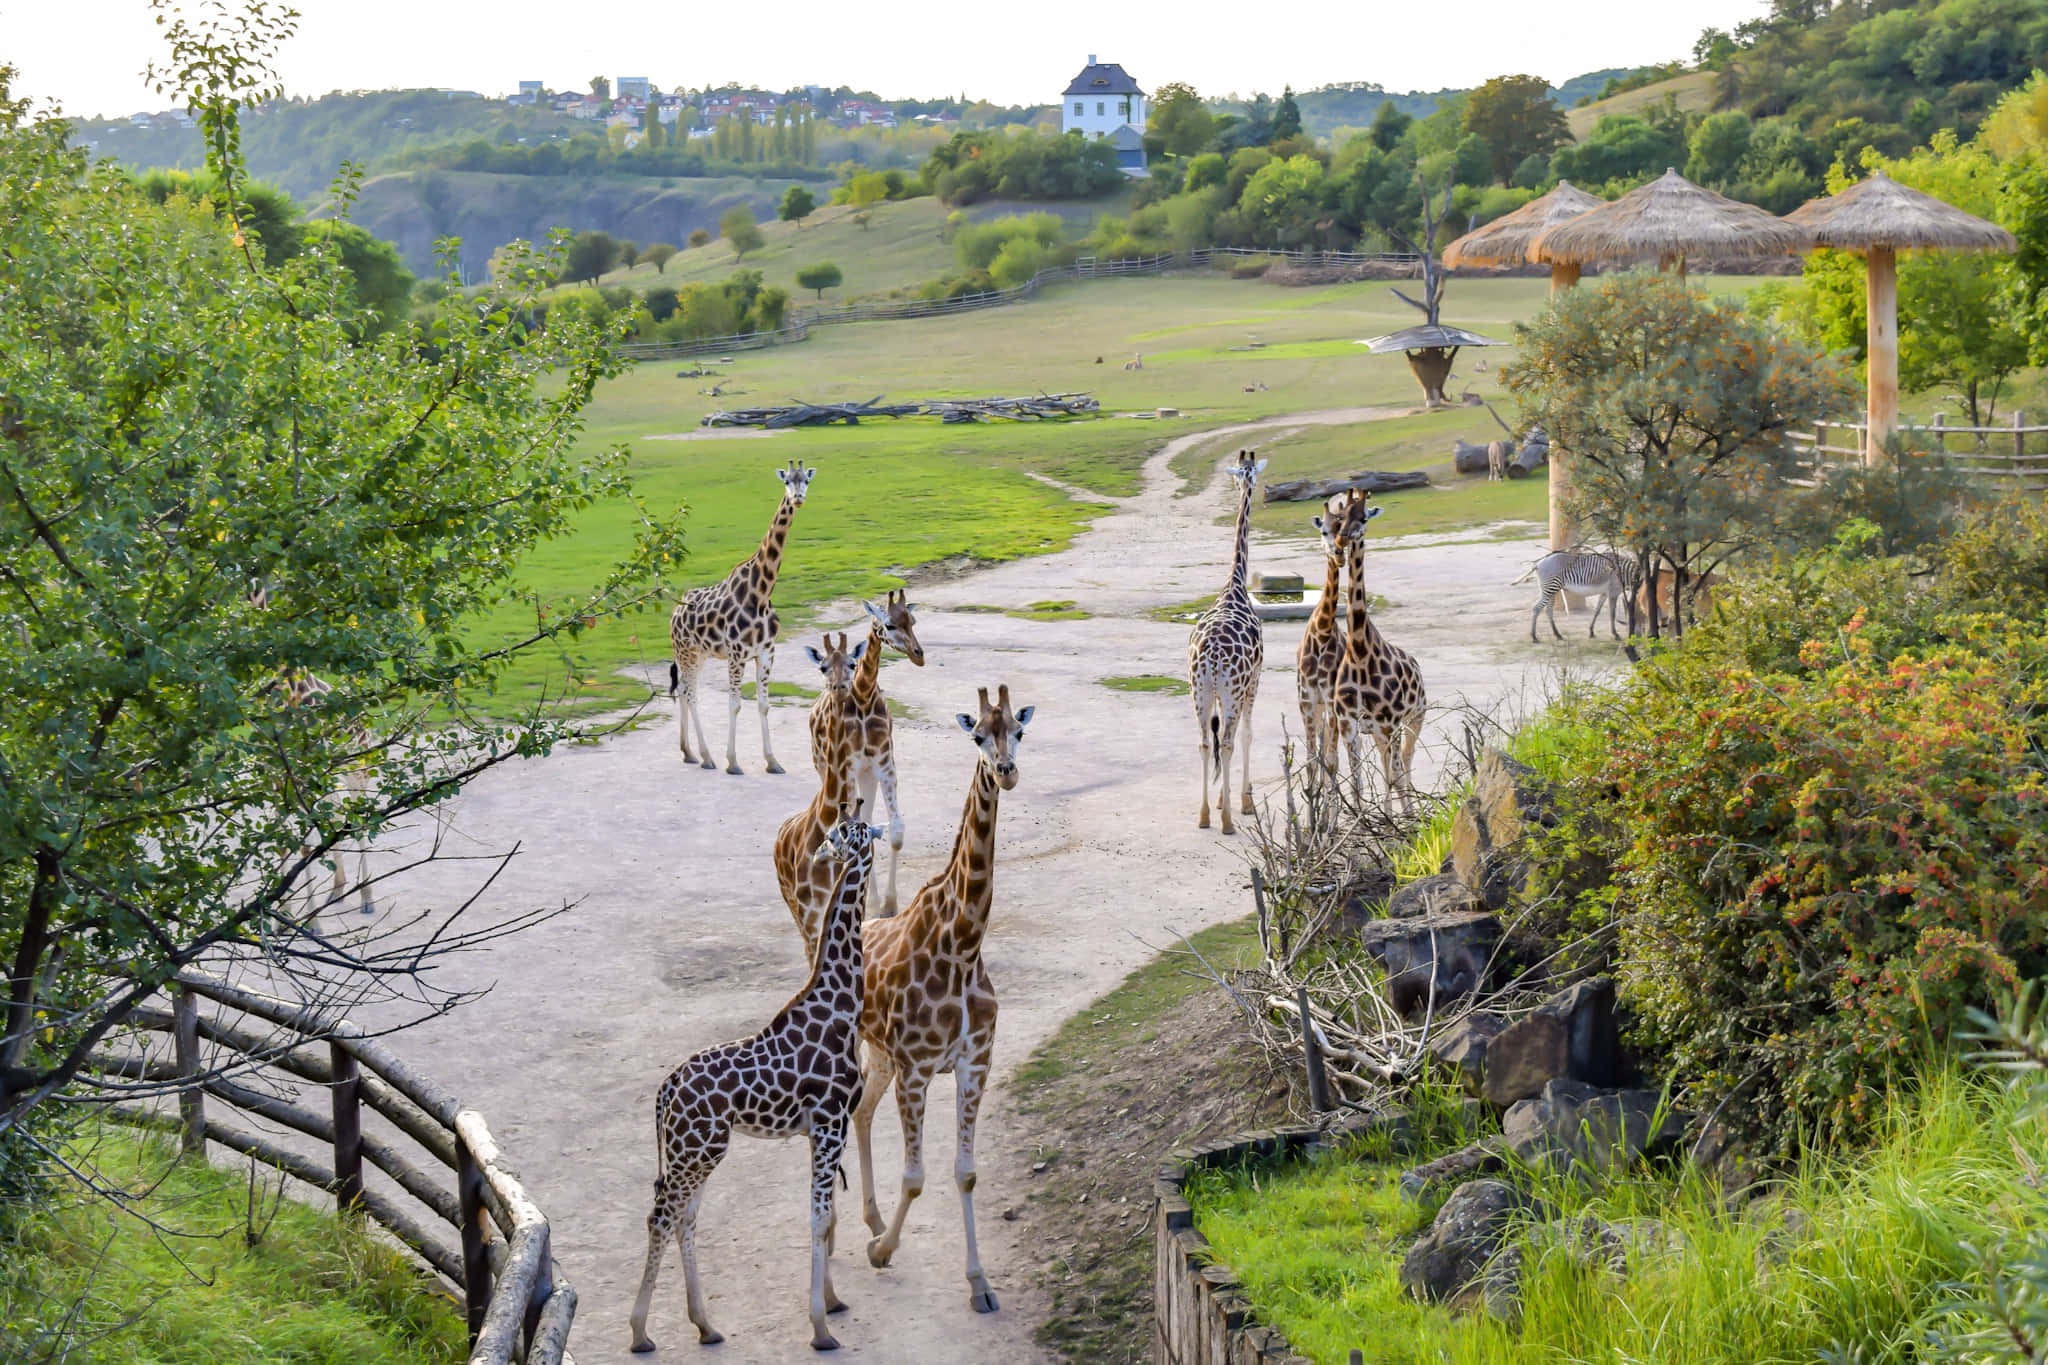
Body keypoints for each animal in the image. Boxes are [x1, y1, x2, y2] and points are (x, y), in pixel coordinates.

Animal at [628, 807, 880, 1354]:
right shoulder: (831, 1124)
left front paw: (833, 1301)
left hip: (697, 1153)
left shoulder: (822, 1131)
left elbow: (827, 1215)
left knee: (683, 1217)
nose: (820, 854)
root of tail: (665, 1091)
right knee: (661, 1216)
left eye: (840, 836)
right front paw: (820, 1329)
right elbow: (817, 1217)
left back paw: (706, 1325)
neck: (842, 1004)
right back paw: (639, 1333)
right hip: (697, 1150)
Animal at [669, 459, 813, 775]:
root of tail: (674, 613)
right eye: (787, 481)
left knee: (683, 688)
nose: (798, 498)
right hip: (686, 651)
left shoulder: (766, 653)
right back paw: (707, 756)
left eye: (806, 481)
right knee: (690, 692)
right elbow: (734, 704)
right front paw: (732, 762)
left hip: (698, 654)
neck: (760, 593)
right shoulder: (736, 654)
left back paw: (689, 753)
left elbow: (763, 704)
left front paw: (773, 761)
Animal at [807, 590, 925, 916]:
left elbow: (894, 829)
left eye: (912, 621)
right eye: (889, 624)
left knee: (869, 816)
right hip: (826, 768)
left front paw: (888, 904)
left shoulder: (884, 764)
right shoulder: (848, 766)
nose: (918, 655)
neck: (863, 697)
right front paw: (874, 903)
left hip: (866, 775)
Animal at [853, 685, 1034, 1316]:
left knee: (860, 1113)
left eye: (1019, 732)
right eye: (977, 735)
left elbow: (964, 1172)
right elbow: (916, 1175)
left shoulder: (974, 1063)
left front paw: (980, 1283)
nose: (1005, 772)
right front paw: (882, 1252)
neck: (961, 946)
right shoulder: (917, 1071)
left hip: (880, 1054)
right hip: (861, 1052)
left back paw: (871, 1218)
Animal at [1329, 490, 1426, 815]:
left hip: (1414, 718)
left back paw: (1409, 812)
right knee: (1391, 764)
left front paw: (1394, 818)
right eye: (1340, 516)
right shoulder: (1349, 723)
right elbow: (1357, 780)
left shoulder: (1389, 722)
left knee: (1403, 762)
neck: (1359, 651)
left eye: (1363, 517)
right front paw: (1362, 819)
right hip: (1378, 732)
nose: (1342, 539)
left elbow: (1392, 775)